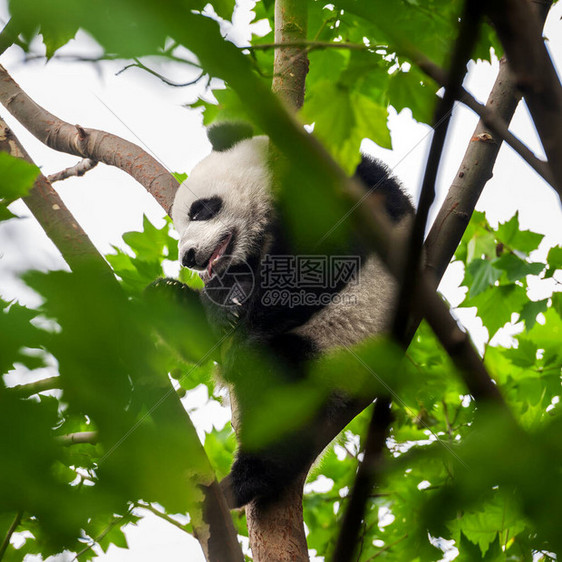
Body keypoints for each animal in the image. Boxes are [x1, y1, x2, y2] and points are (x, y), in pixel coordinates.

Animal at [171, 123, 412, 508]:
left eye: (201, 209)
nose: (189, 257)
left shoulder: (345, 186)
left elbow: (316, 262)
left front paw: (244, 332)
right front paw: (223, 302)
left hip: (343, 346)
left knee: (280, 388)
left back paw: (247, 479)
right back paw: (170, 299)